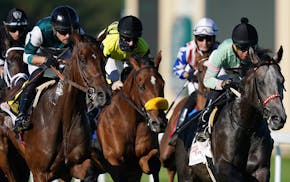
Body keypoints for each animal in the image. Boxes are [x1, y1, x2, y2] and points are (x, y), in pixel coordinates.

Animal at [0, 33, 111, 182]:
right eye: (83, 60)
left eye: (103, 60)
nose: (103, 95)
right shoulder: (39, 173)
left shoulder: (71, 168)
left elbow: (89, 171)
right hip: (6, 158)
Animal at [94, 52, 168, 181]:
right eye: (141, 86)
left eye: (162, 84)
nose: (159, 123)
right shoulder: (115, 163)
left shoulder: (136, 167)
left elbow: (151, 159)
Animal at [174, 46, 286, 181]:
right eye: (260, 82)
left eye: (282, 81)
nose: (278, 118)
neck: (247, 127)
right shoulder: (222, 167)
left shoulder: (261, 169)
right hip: (185, 176)